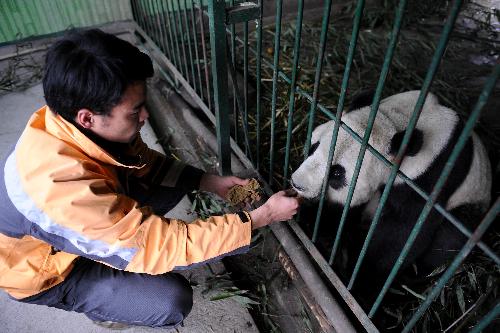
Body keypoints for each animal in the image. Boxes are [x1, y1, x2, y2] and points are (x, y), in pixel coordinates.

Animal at [292, 90, 490, 306]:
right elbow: (347, 208)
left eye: (337, 173)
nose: (297, 183)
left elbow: (403, 233)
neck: (397, 120)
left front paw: (359, 283)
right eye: (314, 147)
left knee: (449, 240)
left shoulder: (430, 180)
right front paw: (311, 219)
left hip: (468, 207)